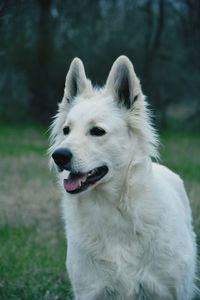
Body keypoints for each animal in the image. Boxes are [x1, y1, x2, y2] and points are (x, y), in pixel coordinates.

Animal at [49, 55, 197, 298]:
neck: (114, 209)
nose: (58, 156)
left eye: (97, 131)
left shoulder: (169, 291)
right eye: (66, 130)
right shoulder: (91, 291)